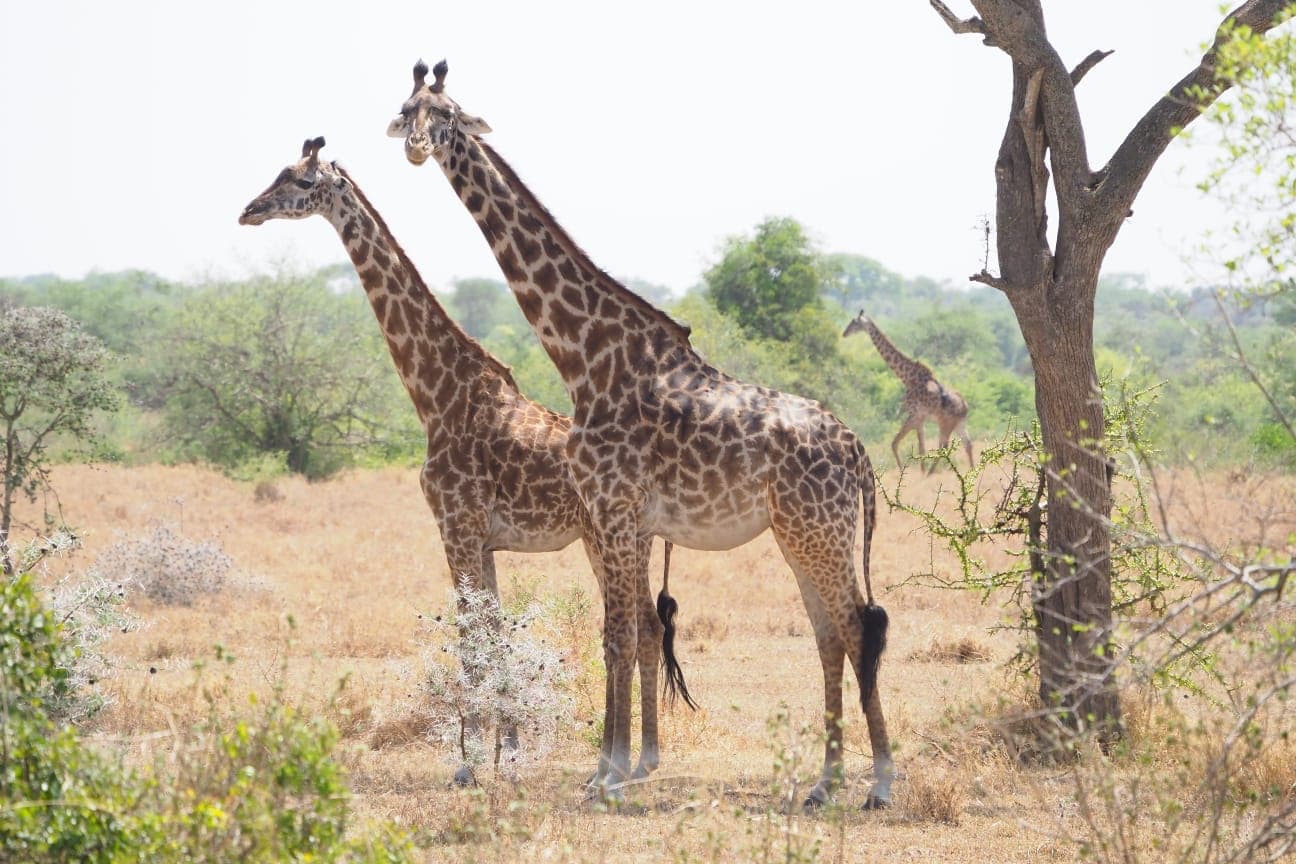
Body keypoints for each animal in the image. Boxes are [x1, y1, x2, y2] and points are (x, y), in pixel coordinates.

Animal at [238, 137, 694, 785]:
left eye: (301, 181)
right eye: (277, 173)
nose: (249, 210)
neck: (435, 394)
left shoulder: (455, 526)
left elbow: (470, 640)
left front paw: (471, 762)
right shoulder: (482, 539)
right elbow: (495, 634)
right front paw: (510, 753)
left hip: (606, 538)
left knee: (634, 629)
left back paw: (623, 761)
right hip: (629, 539)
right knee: (651, 628)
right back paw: (644, 758)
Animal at [386, 61, 894, 808]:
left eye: (446, 114)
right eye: (407, 108)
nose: (417, 147)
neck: (586, 358)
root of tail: (858, 451)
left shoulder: (613, 508)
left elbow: (619, 635)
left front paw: (608, 772)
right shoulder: (615, 515)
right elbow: (623, 634)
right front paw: (612, 767)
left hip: (821, 532)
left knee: (860, 627)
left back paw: (880, 780)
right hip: (800, 535)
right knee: (830, 633)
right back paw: (824, 782)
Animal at [843, 311, 974, 473]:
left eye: (854, 323)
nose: (844, 333)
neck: (906, 377)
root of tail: (965, 406)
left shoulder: (914, 415)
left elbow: (902, 444)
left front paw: (909, 472)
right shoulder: (919, 417)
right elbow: (916, 446)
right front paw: (917, 472)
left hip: (946, 424)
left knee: (944, 446)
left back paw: (931, 474)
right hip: (959, 423)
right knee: (968, 444)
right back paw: (973, 471)